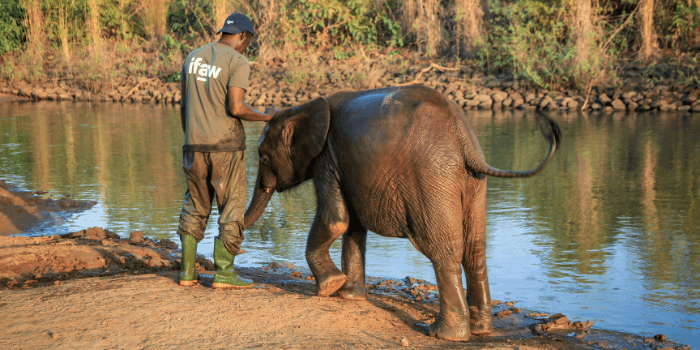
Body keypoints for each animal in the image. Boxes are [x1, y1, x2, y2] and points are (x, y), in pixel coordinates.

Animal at [243, 86, 560, 340]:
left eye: (263, 158)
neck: (302, 107)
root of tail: (463, 138)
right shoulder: (346, 165)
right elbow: (353, 227)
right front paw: (348, 296)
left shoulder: (327, 158)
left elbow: (336, 220)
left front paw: (329, 288)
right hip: (473, 182)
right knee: (475, 249)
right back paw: (480, 329)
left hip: (432, 176)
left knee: (443, 250)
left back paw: (443, 334)